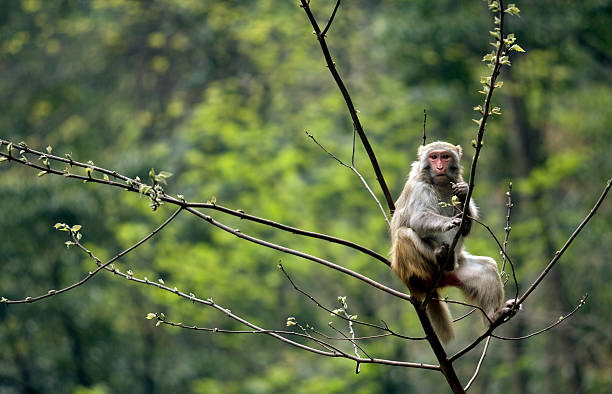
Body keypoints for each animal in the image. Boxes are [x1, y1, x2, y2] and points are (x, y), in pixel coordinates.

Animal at [392, 141, 506, 342]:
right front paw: (449, 222)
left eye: (444, 157)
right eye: (433, 157)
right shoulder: (420, 188)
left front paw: (464, 192)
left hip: (458, 272)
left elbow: (466, 226)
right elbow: (418, 218)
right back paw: (440, 257)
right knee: (403, 234)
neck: (439, 184)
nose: (439, 167)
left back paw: (494, 317)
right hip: (418, 269)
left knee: (488, 268)